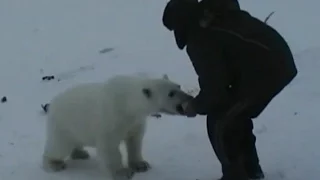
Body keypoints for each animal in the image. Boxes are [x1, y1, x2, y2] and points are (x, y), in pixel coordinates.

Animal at [42, 73, 192, 180]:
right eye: (170, 93)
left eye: (178, 86)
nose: (188, 98)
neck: (127, 103)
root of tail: (52, 104)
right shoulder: (112, 118)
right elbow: (109, 147)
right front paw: (123, 173)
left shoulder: (135, 121)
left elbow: (135, 141)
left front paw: (141, 165)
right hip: (63, 124)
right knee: (59, 147)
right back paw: (54, 164)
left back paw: (80, 153)